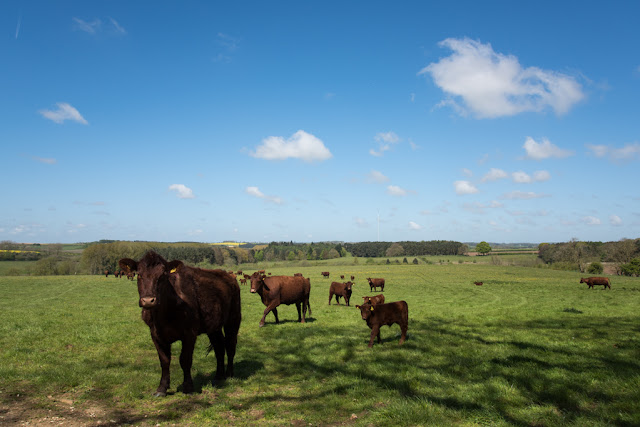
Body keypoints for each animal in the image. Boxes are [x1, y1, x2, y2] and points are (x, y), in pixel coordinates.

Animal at [119, 251, 241, 398]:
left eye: (162, 276)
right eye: (139, 274)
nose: (148, 300)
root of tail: (228, 275)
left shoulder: (189, 333)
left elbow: (185, 360)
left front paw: (188, 387)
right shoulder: (155, 334)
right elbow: (164, 361)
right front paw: (161, 388)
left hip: (233, 318)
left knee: (230, 344)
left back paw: (230, 374)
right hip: (213, 326)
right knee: (219, 346)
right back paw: (218, 376)